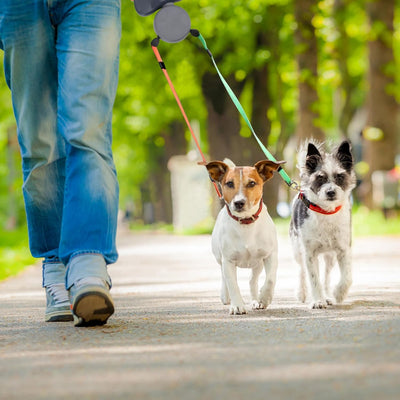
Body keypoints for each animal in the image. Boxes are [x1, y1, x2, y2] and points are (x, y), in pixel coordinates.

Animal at [206, 159, 284, 316]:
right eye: (229, 183)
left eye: (252, 183)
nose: (239, 202)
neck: (246, 222)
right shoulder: (228, 260)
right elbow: (232, 284)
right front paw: (237, 306)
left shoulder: (270, 255)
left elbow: (270, 279)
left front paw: (264, 298)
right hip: (220, 258)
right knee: (224, 277)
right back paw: (226, 296)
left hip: (258, 264)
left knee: (252, 280)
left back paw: (255, 300)